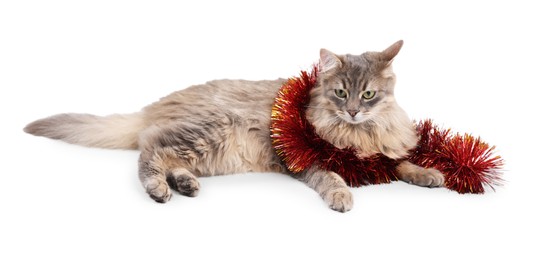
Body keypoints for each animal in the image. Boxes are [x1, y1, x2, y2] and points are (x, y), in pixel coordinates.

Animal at [25, 40, 442, 211]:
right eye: (341, 93)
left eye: (369, 95)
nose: (354, 111)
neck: (359, 133)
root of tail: (155, 106)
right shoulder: (307, 161)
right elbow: (332, 177)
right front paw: (341, 196)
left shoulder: (382, 151)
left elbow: (402, 162)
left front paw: (429, 173)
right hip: (210, 132)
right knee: (150, 152)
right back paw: (160, 190)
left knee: (166, 156)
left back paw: (184, 184)